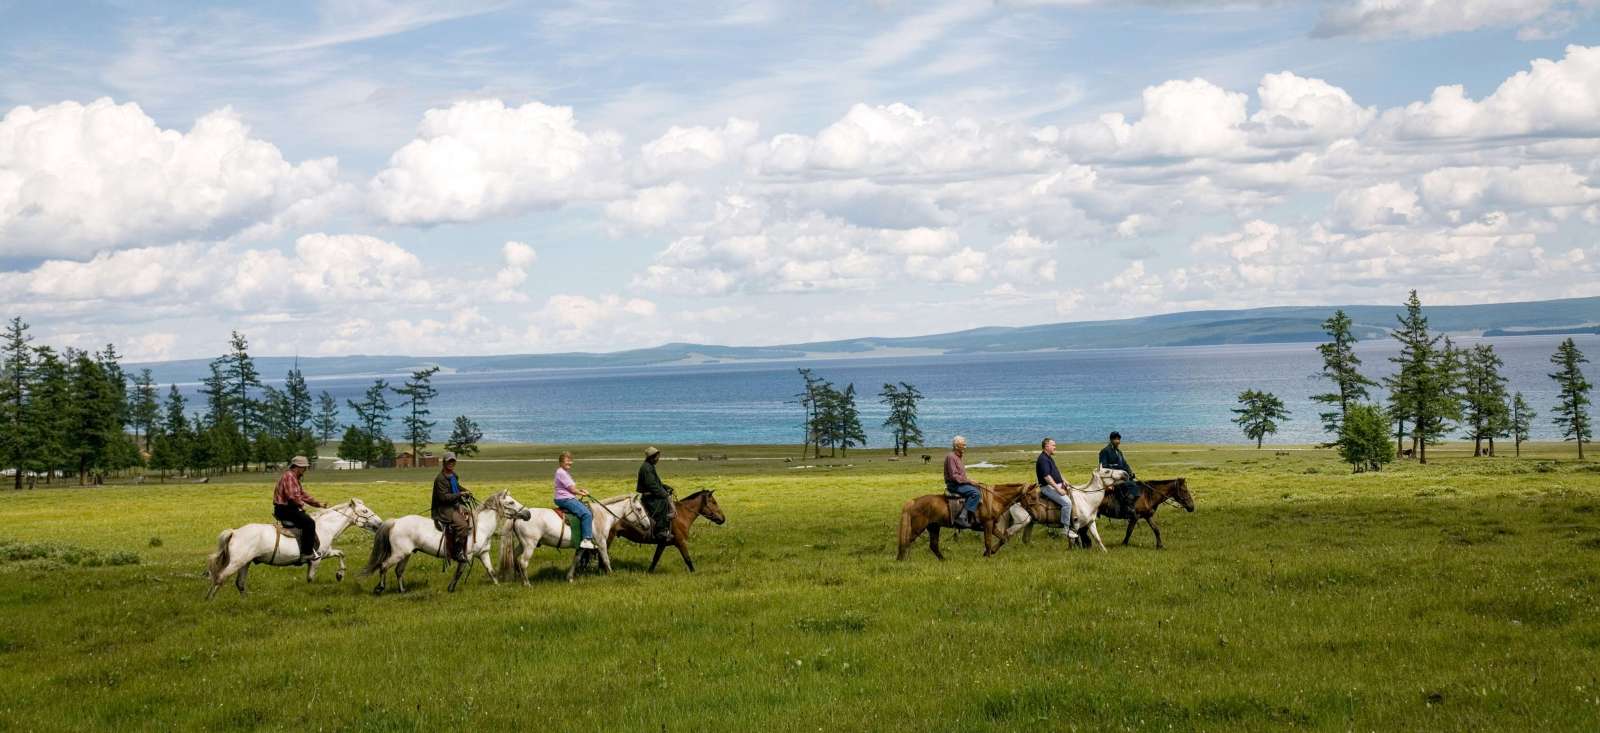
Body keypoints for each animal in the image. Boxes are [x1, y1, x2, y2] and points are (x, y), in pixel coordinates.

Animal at [204, 502, 382, 598]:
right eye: (365, 511)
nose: (379, 523)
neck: (325, 527)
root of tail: (234, 532)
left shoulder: (326, 553)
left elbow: (341, 554)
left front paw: (340, 574)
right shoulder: (316, 559)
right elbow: (310, 578)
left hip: (244, 563)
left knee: (239, 583)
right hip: (236, 562)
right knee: (219, 578)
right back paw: (210, 600)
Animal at [364, 489, 534, 592]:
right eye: (511, 502)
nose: (528, 514)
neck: (481, 527)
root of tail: (395, 522)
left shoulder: (483, 553)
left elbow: (491, 571)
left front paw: (498, 586)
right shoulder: (467, 556)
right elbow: (459, 573)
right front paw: (451, 589)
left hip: (406, 554)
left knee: (398, 571)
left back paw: (402, 590)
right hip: (398, 554)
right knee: (384, 566)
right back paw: (380, 588)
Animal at [896, 480, 1043, 560]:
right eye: (1033, 497)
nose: (1037, 516)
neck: (994, 499)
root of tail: (914, 501)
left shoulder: (992, 526)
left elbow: (1003, 538)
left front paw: (989, 553)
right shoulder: (988, 524)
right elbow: (988, 542)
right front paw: (988, 556)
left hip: (934, 527)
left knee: (933, 545)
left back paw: (944, 560)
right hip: (918, 527)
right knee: (906, 541)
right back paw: (901, 561)